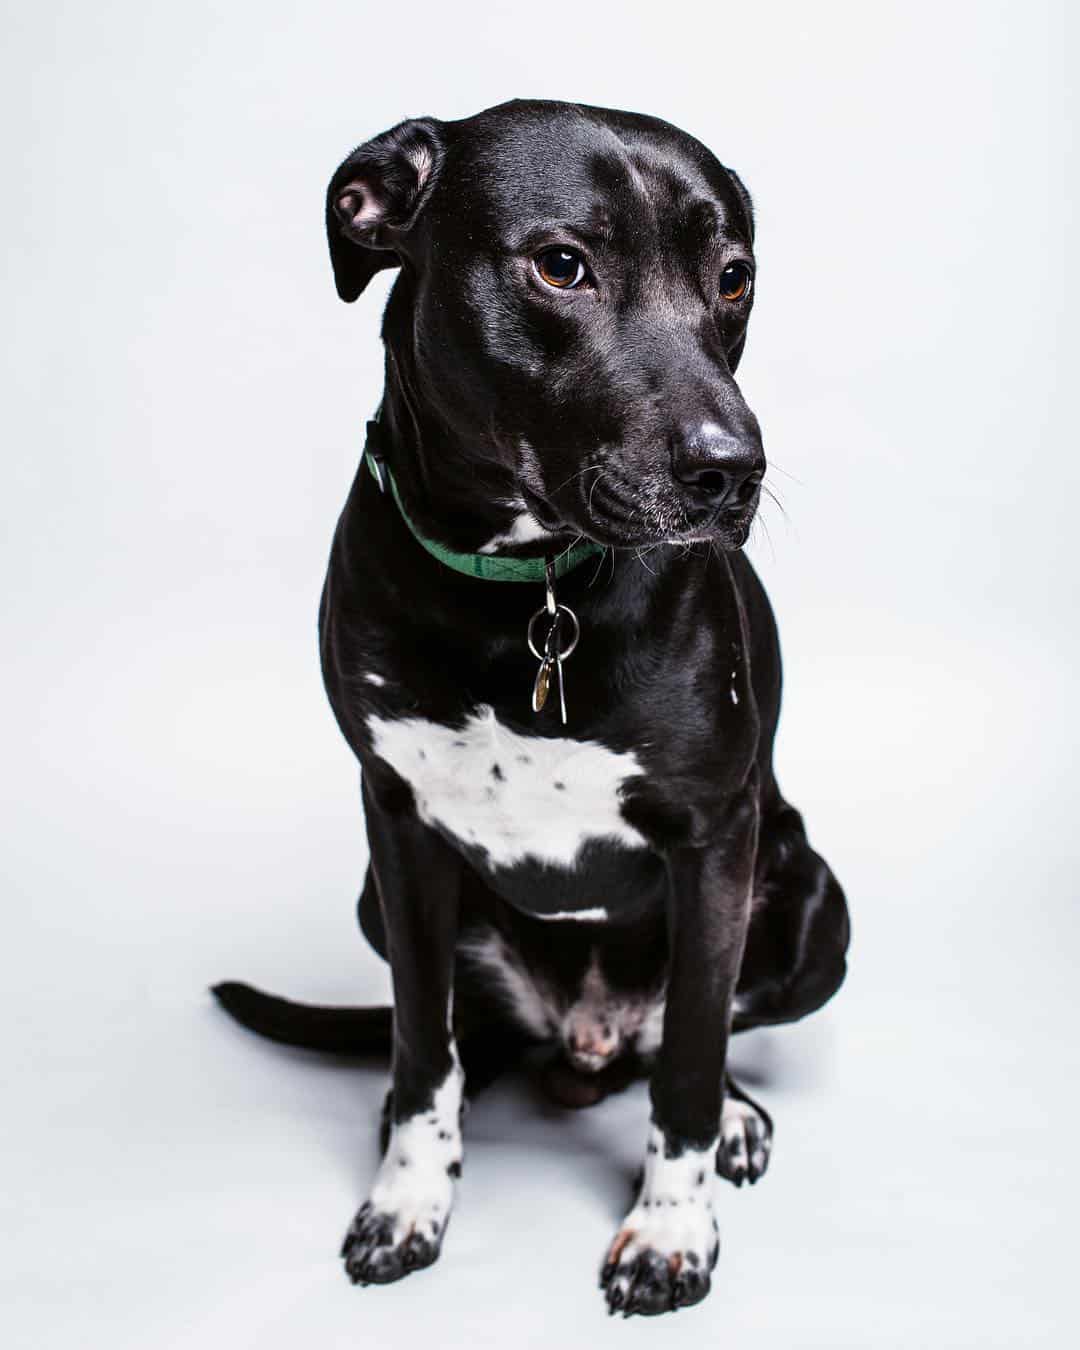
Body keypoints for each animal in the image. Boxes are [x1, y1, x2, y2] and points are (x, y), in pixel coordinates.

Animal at [213, 97, 853, 1317]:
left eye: (733, 278)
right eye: (563, 266)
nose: (732, 469)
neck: (530, 587)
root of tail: (586, 1038)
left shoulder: (715, 838)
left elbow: (691, 1064)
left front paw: (671, 1232)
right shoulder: (397, 823)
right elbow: (423, 1047)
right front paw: (409, 1202)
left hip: (812, 903)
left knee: (689, 1038)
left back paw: (733, 1119)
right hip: (380, 900)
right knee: (472, 1038)